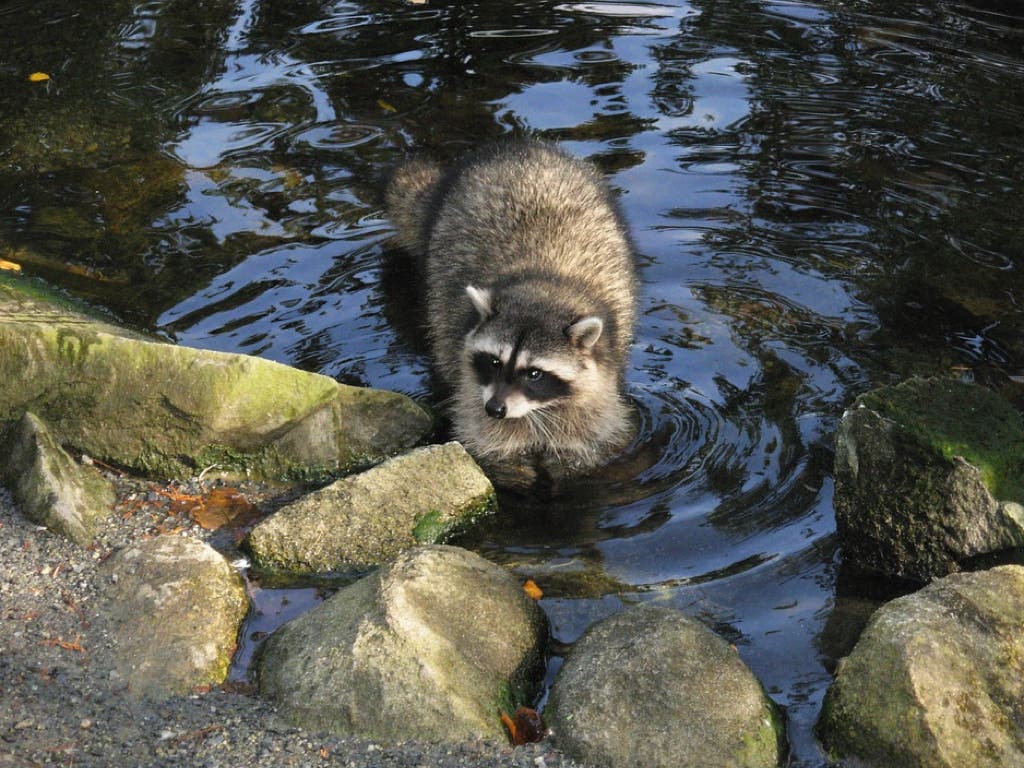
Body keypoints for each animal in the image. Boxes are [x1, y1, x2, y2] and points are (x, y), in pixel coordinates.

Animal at [385, 140, 634, 481]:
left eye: (534, 373)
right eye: (494, 361)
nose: (495, 409)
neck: (543, 285)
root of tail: (523, 148)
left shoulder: (600, 376)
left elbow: (590, 434)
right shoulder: (469, 374)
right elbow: (485, 434)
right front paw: (511, 467)